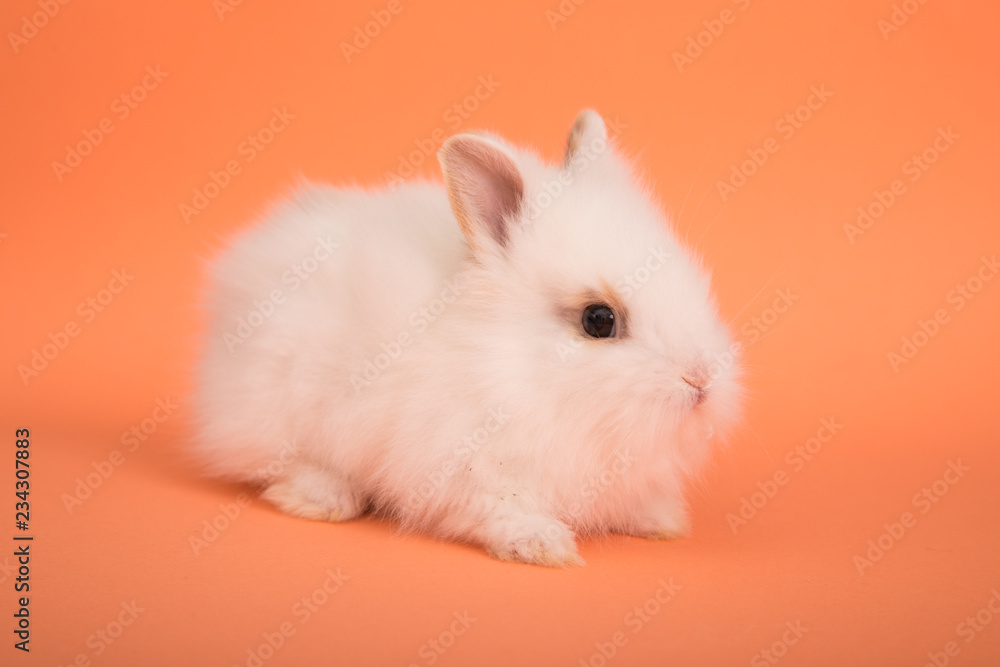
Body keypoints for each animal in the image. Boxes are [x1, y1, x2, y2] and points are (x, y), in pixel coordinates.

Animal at [192, 110, 742, 567]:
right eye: (599, 320)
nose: (701, 380)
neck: (521, 366)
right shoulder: (467, 470)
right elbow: (499, 510)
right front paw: (544, 546)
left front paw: (662, 521)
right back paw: (325, 497)